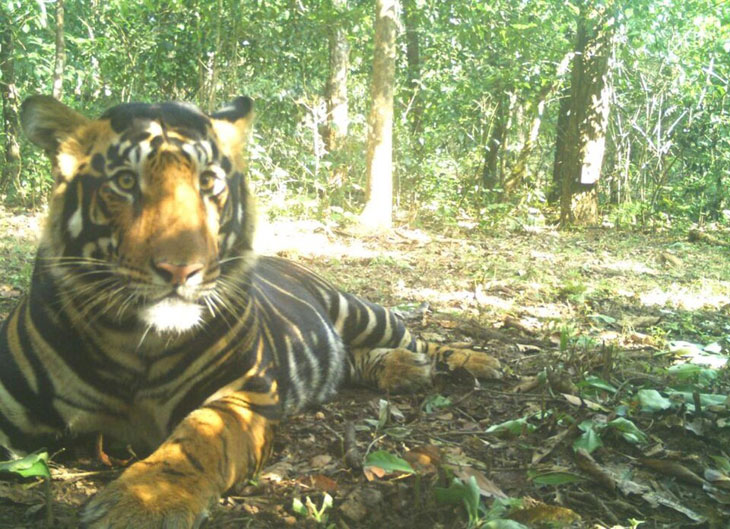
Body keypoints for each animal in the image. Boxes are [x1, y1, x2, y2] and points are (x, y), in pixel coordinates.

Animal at [0, 94, 501, 529]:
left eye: (208, 183)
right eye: (125, 182)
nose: (181, 269)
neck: (134, 342)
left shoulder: (242, 393)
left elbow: (197, 439)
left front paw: (142, 504)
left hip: (358, 310)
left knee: (418, 337)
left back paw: (476, 361)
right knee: (358, 359)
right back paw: (405, 370)